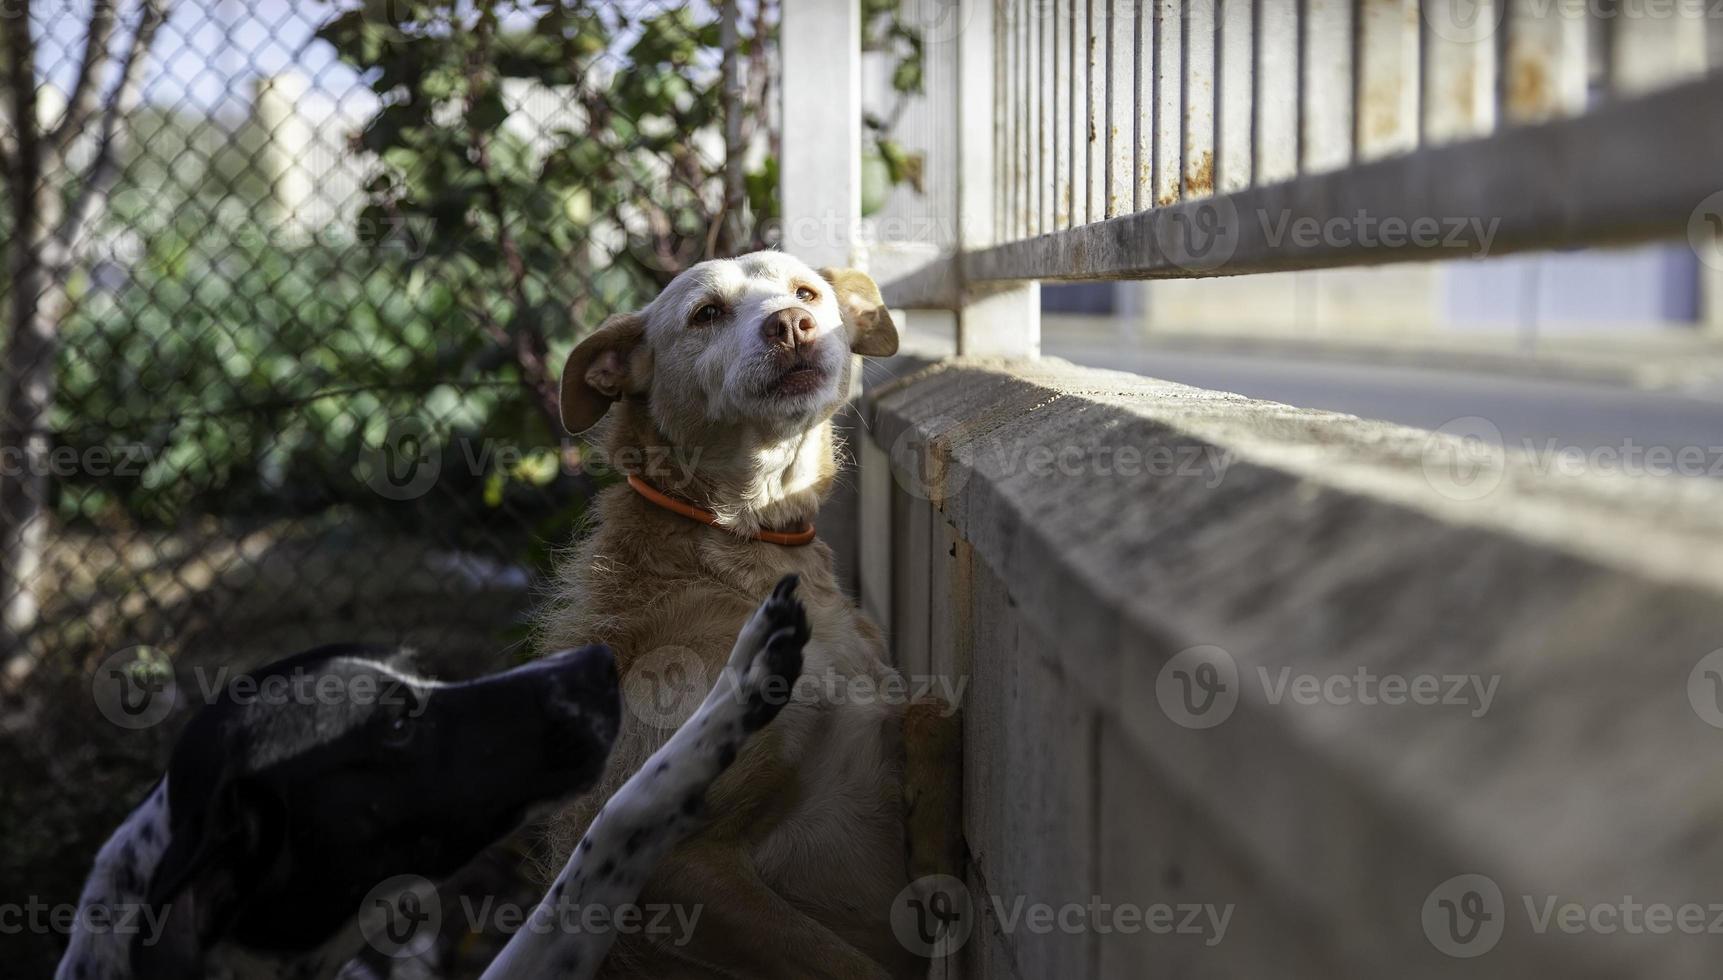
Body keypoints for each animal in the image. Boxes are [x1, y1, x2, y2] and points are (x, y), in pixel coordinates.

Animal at [55, 571, 806, 978]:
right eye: (394, 722)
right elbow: (612, 826)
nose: (595, 662)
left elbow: (612, 832)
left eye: (422, 671)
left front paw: (739, 671)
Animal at [537, 251, 964, 978]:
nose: (791, 324)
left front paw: (937, 838)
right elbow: (849, 966)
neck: (746, 538)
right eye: (706, 313)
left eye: (806, 292)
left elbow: (928, 708)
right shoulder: (666, 861)